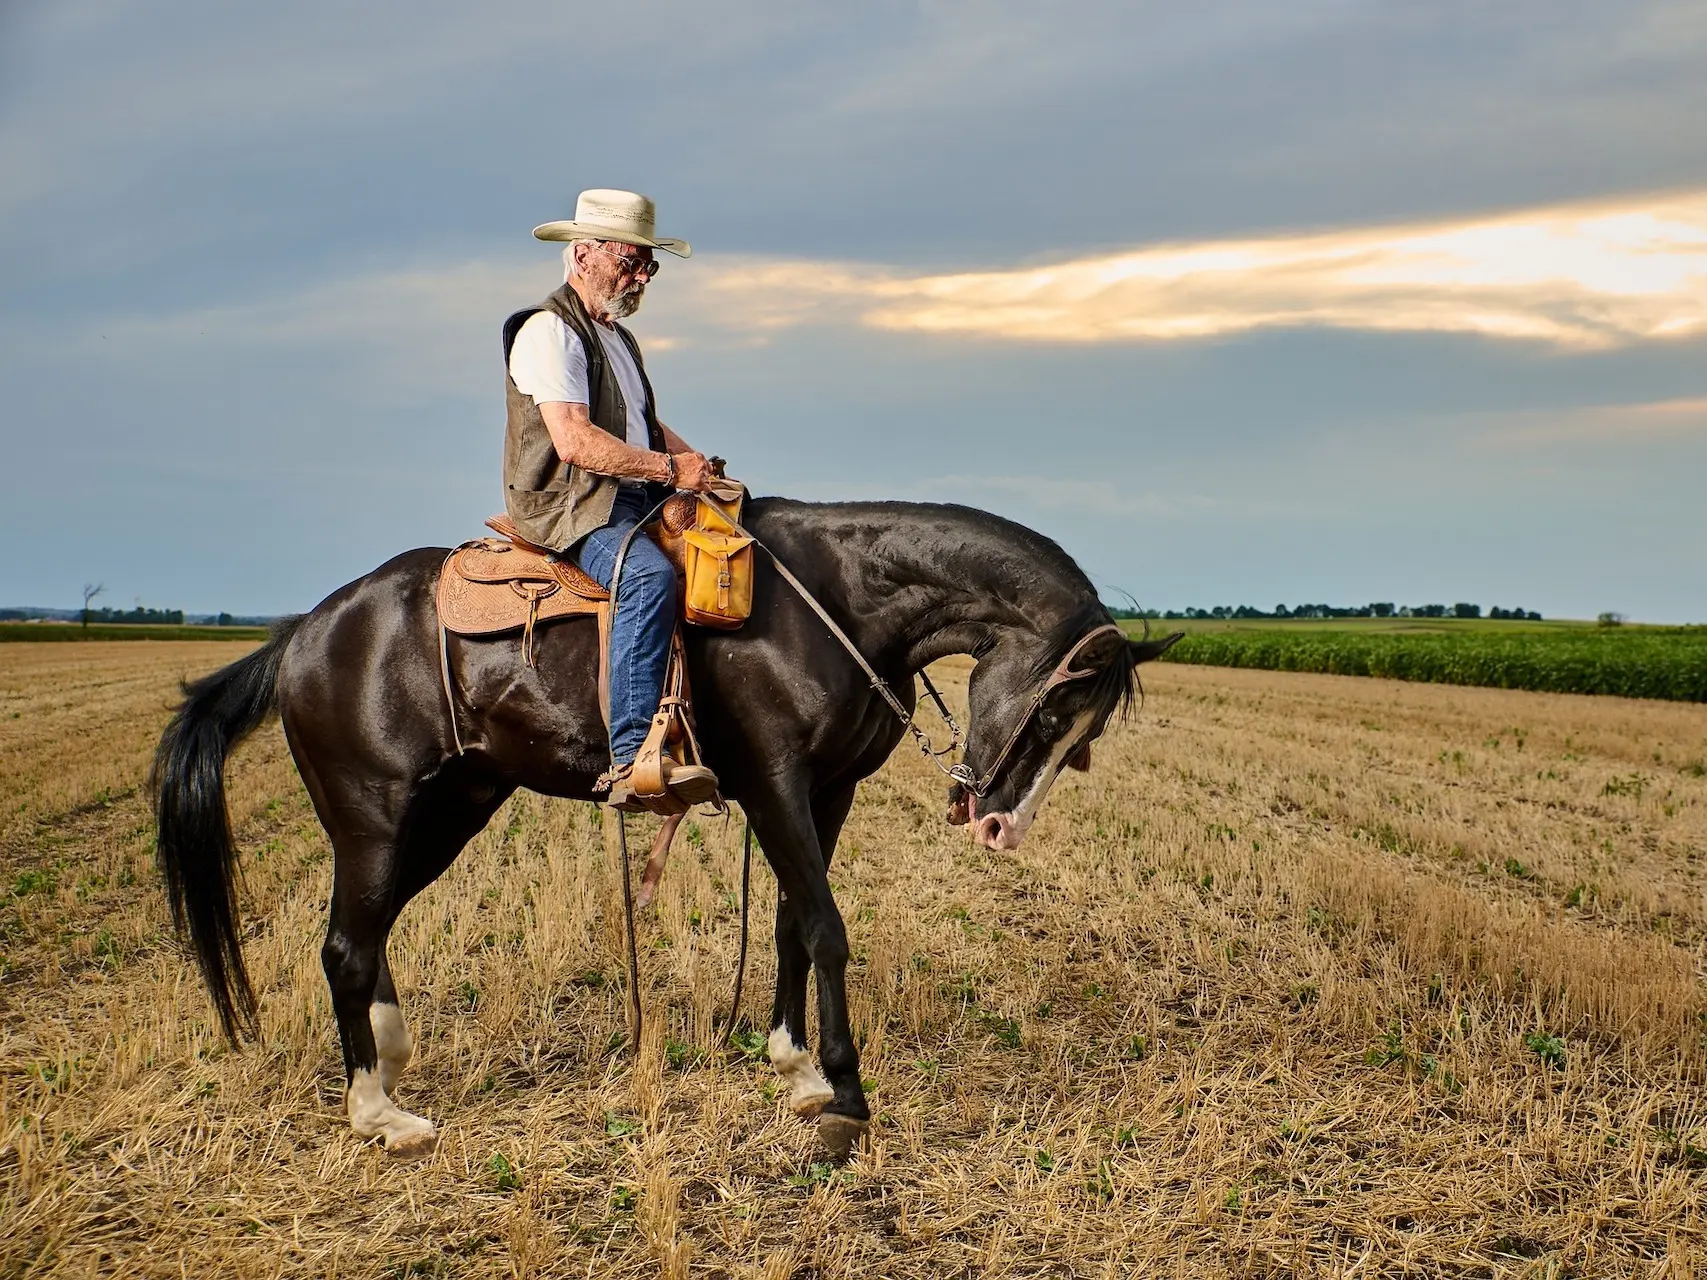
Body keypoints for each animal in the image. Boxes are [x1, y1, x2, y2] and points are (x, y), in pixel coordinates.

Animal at [153, 501, 1181, 1160]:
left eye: (1084, 739)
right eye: (1058, 712)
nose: (999, 825)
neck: (836, 602)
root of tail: (303, 630)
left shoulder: (829, 792)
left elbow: (790, 924)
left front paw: (792, 1064)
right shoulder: (772, 782)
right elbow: (826, 927)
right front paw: (845, 1098)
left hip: (451, 809)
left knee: (368, 934)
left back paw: (391, 1061)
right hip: (375, 815)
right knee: (343, 944)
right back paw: (376, 1112)